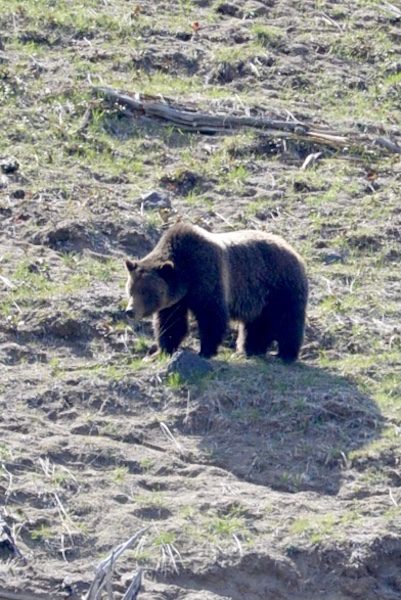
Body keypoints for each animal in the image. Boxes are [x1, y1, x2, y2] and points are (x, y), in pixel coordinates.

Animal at [126, 221, 308, 358]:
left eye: (145, 292)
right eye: (130, 290)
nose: (130, 311)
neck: (187, 276)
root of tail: (294, 251)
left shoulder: (208, 277)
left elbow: (212, 316)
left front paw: (205, 351)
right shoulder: (176, 300)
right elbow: (171, 322)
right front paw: (163, 349)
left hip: (280, 286)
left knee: (287, 320)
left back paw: (285, 354)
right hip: (261, 299)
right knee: (257, 324)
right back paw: (250, 349)